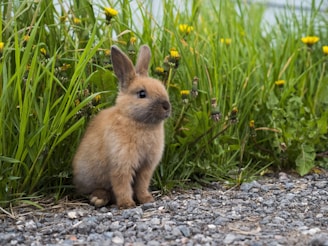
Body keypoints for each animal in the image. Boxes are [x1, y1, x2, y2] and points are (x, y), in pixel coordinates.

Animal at [72, 43, 172, 208]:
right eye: (142, 94)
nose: (166, 106)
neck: (136, 120)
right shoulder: (121, 163)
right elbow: (122, 184)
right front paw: (127, 204)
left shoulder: (146, 167)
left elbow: (141, 184)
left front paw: (146, 199)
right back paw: (99, 198)